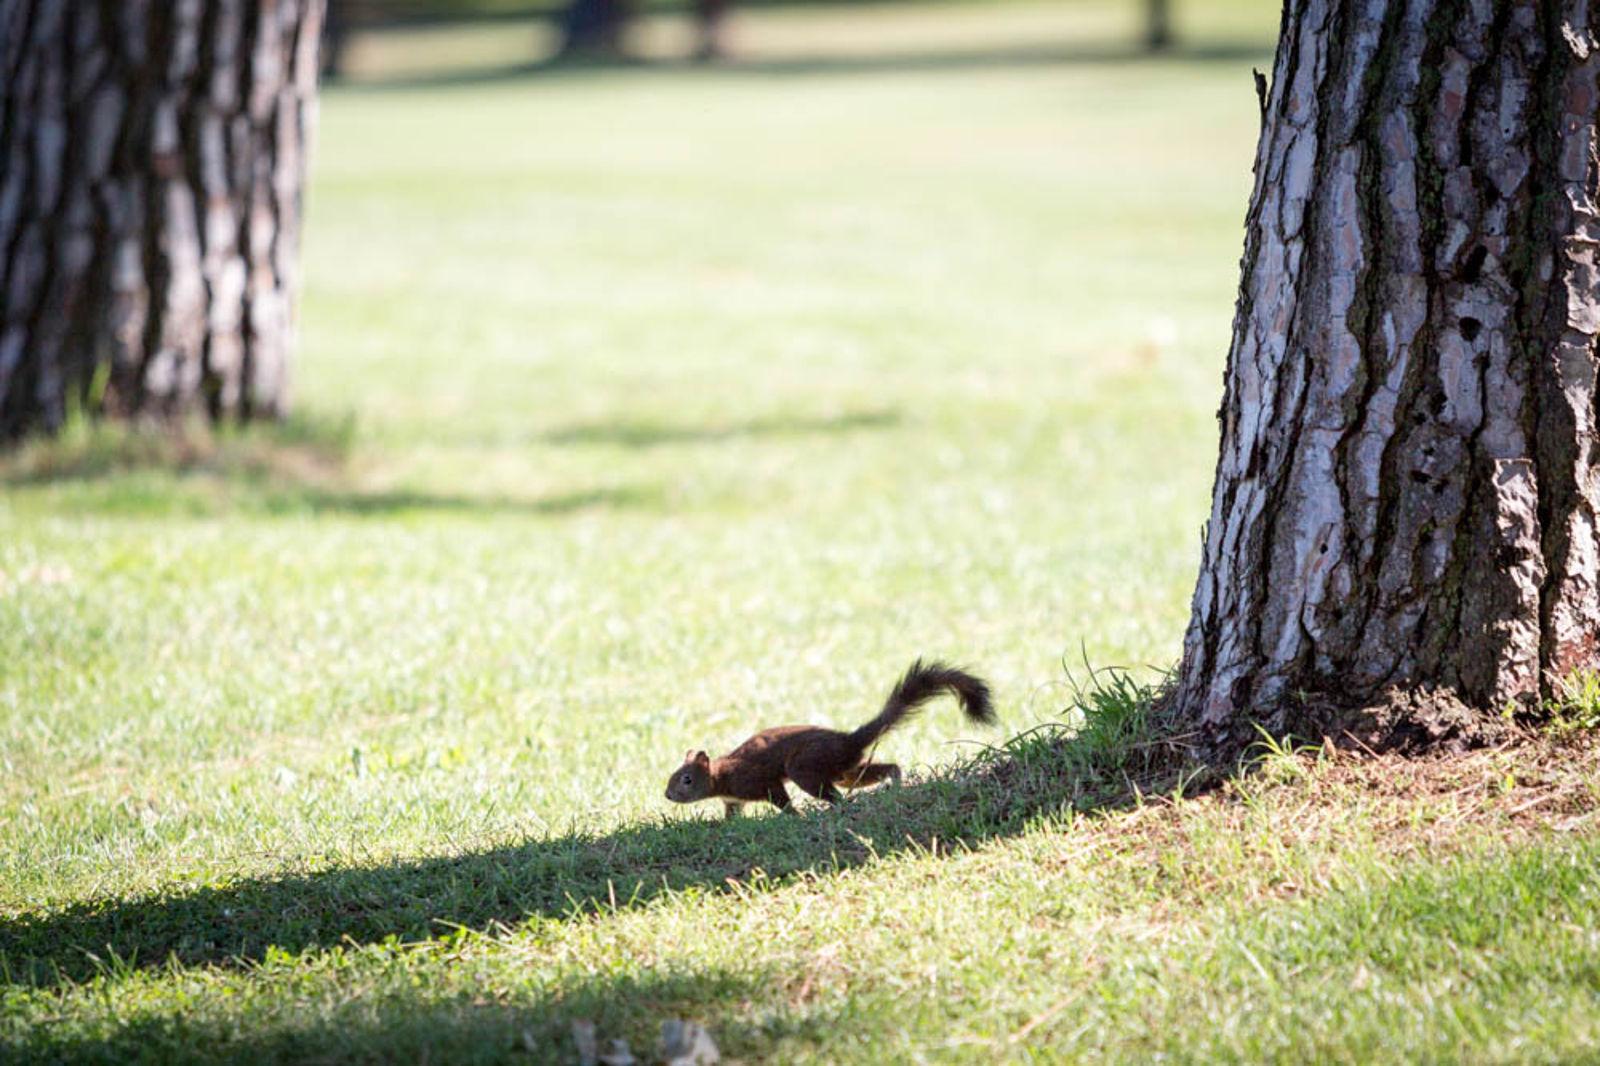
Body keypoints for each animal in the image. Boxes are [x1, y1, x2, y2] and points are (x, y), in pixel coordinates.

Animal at [659, 656, 985, 813]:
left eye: (686, 779)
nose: (668, 795)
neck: (721, 775)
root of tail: (849, 739)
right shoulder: (733, 801)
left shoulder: (758, 782)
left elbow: (781, 800)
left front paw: (793, 816)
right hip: (846, 771)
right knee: (882, 769)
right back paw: (894, 783)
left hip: (806, 768)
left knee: (835, 795)